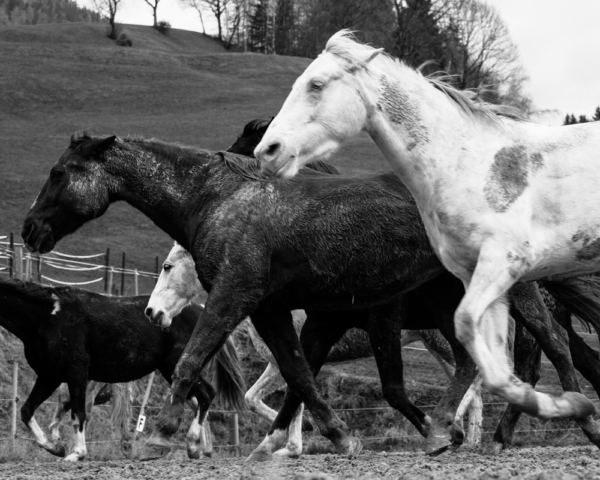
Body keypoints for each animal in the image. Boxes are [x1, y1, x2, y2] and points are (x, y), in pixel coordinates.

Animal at [0, 282, 246, 462]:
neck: (50, 316)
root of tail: (202, 311)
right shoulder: (49, 376)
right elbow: (27, 411)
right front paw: (55, 446)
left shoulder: (76, 373)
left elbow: (78, 412)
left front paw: (76, 453)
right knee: (200, 399)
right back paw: (196, 448)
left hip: (176, 368)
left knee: (206, 395)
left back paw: (191, 446)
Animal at [146, 242, 488, 460]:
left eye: (167, 266)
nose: (152, 312)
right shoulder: (279, 362)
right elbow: (258, 397)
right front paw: (294, 441)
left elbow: (294, 395)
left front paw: (292, 444)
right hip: (436, 344)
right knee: (473, 386)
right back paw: (469, 439)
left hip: (437, 340)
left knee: (472, 380)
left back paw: (451, 430)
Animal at [255, 29, 600, 424]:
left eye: (316, 84)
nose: (268, 151)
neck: (467, 163)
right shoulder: (475, 275)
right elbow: (490, 362)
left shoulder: (503, 262)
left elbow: (469, 332)